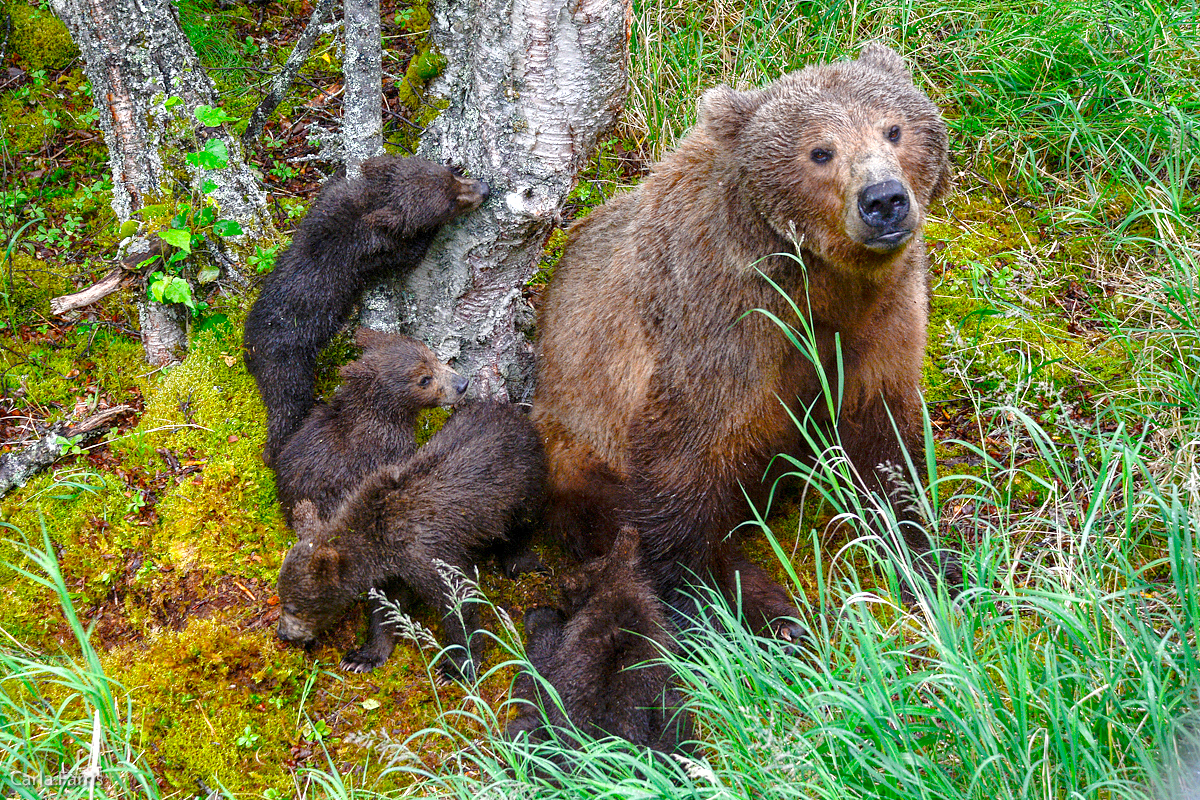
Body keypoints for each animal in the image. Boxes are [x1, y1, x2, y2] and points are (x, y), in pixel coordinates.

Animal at [535, 43, 955, 633]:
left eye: (893, 128)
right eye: (819, 151)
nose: (884, 199)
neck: (823, 282)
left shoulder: (883, 314)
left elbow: (882, 433)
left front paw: (928, 555)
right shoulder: (724, 320)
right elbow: (684, 464)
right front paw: (718, 599)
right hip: (577, 445)